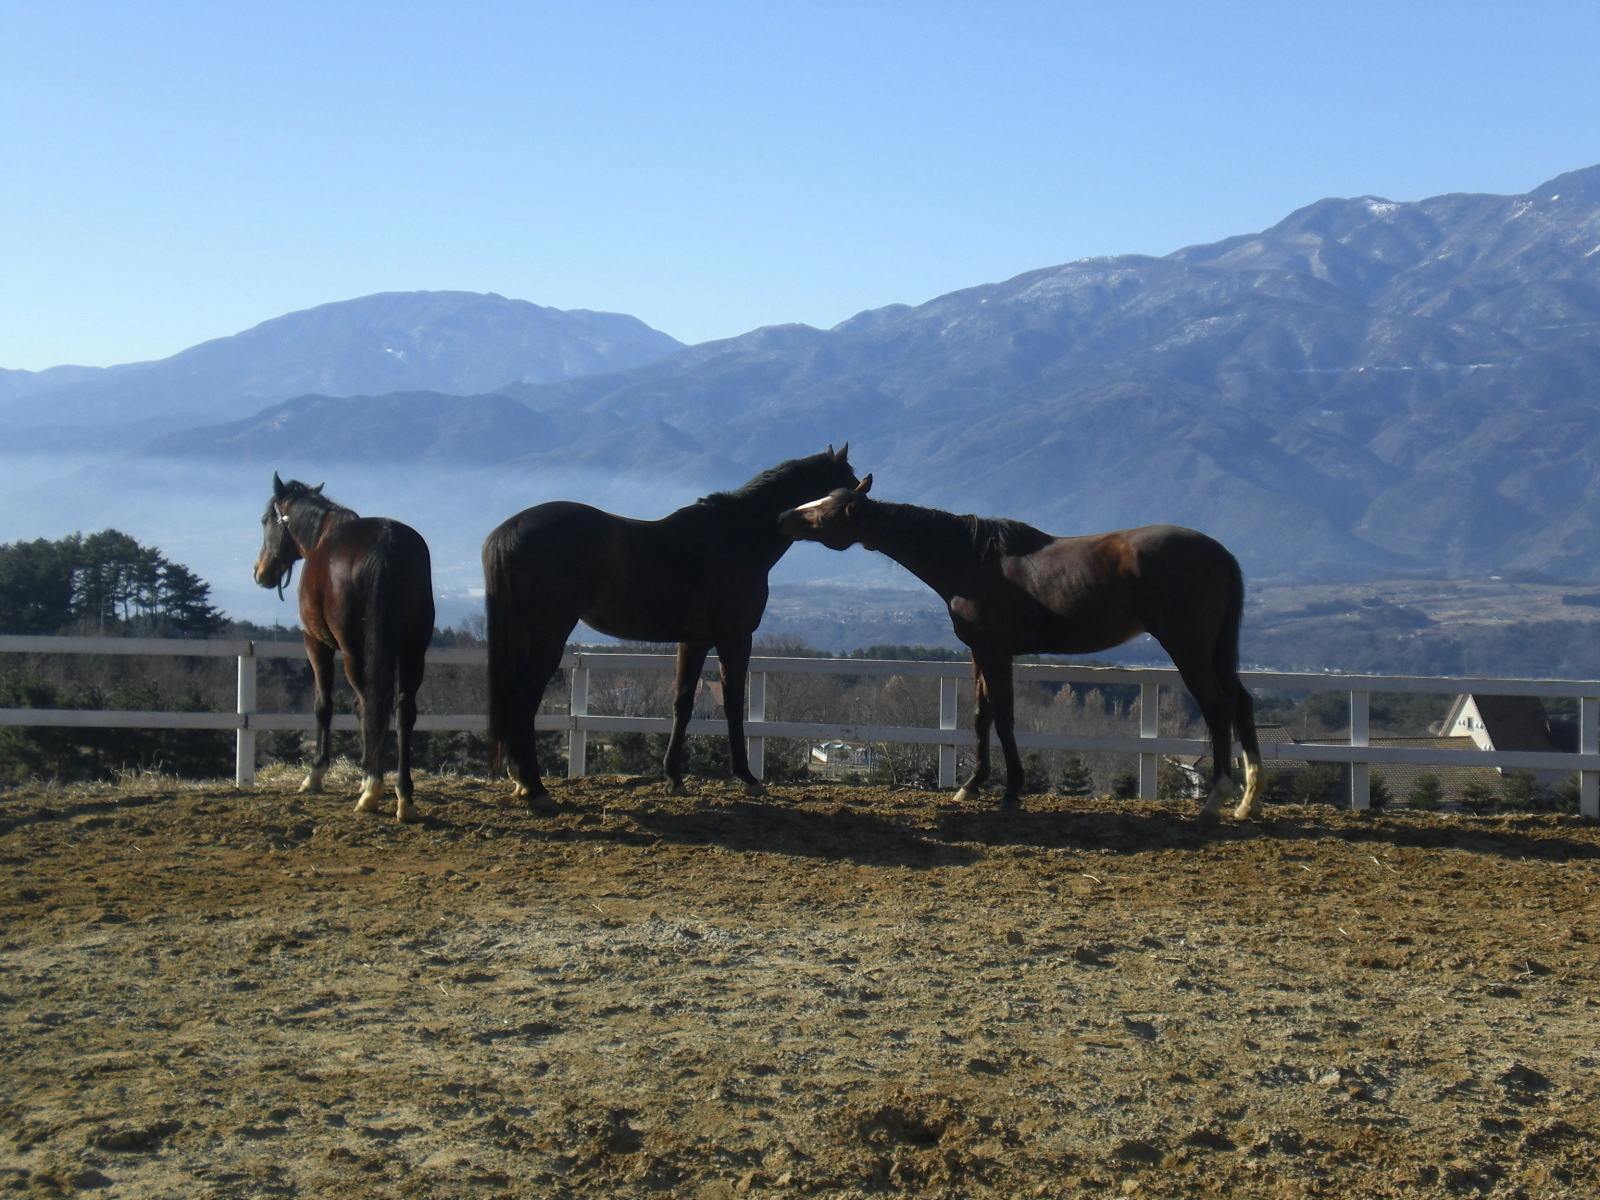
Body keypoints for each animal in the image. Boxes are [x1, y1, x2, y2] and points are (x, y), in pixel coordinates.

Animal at [246, 473, 432, 825]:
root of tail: (386, 543)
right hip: (414, 649)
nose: (260, 572)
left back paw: (372, 790)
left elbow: (325, 705)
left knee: (371, 703)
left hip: (354, 650)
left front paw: (315, 774)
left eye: (265, 520)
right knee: (402, 711)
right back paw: (403, 795)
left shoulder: (316, 643)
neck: (322, 536)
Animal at [486, 448, 864, 803]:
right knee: (524, 696)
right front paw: (746, 777)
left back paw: (523, 780)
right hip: (548, 634)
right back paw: (533, 786)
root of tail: (512, 528)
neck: (737, 537)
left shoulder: (694, 642)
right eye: (851, 485)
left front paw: (674, 778)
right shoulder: (735, 637)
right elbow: (732, 703)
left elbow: (682, 704)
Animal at [777, 473, 1260, 825]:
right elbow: (981, 715)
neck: (969, 559)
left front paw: (1011, 792)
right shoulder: (979, 652)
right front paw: (971, 785)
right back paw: (1246, 801)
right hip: (1213, 651)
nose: (783, 515)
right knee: (1240, 703)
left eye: (827, 509)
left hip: (1188, 648)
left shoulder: (996, 651)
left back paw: (1215, 799)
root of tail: (1222, 555)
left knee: (1217, 708)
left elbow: (1006, 717)